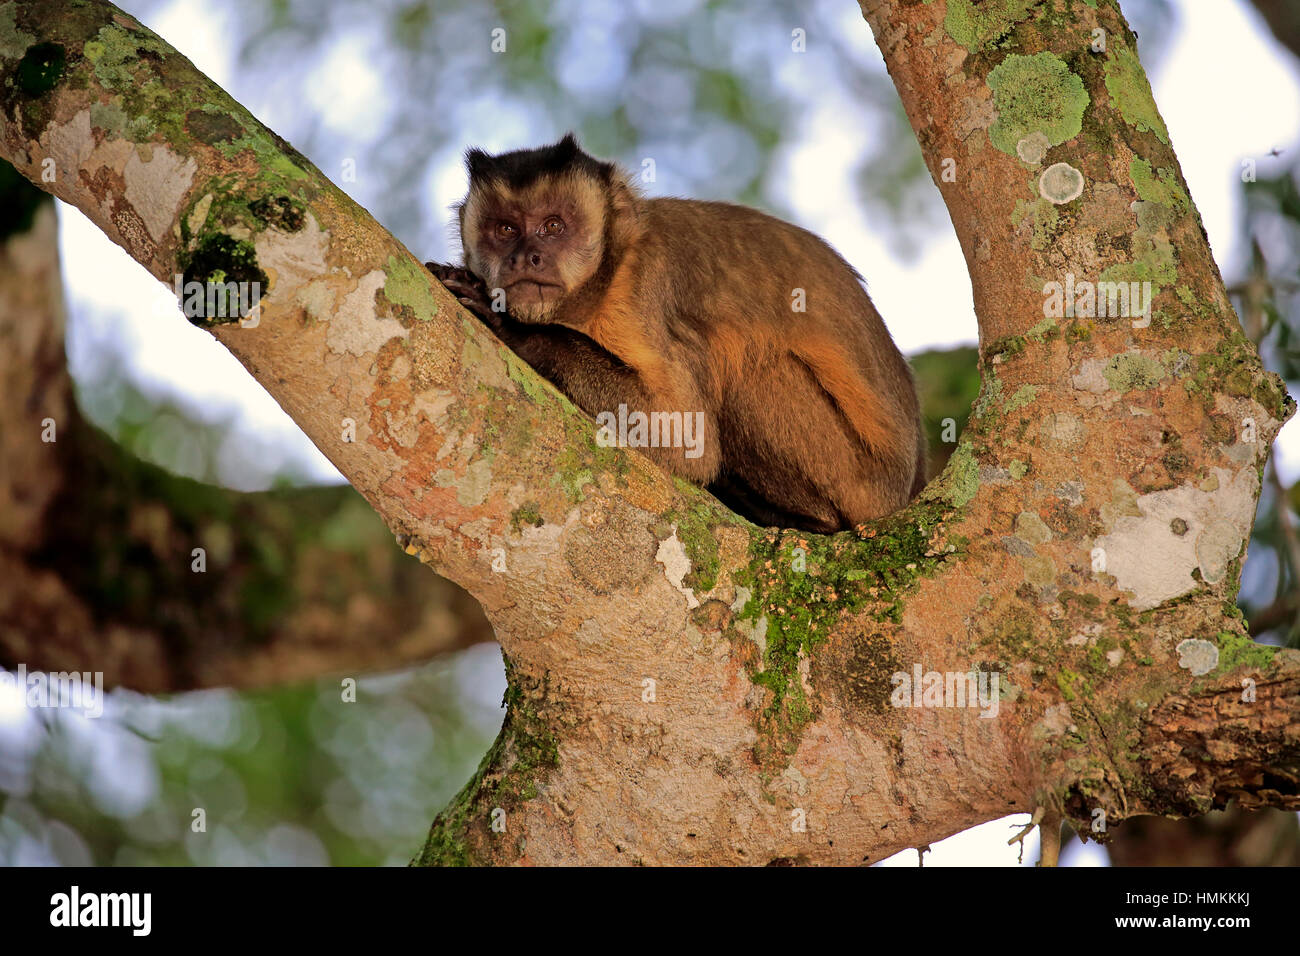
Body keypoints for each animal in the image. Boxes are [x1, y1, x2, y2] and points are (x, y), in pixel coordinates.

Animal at [426, 132, 925, 538]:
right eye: (505, 229)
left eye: (552, 226)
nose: (525, 256)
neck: (601, 287)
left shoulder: (645, 286)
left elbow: (688, 440)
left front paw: (514, 329)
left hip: (861, 479)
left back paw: (806, 520)